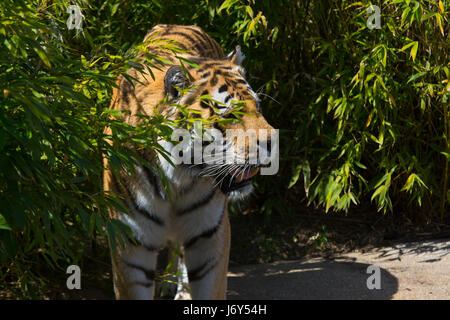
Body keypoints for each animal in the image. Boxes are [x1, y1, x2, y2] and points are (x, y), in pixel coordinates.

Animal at [103, 25, 276, 300]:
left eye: (257, 107)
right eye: (230, 115)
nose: (273, 142)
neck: (175, 180)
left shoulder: (209, 235)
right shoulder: (130, 242)